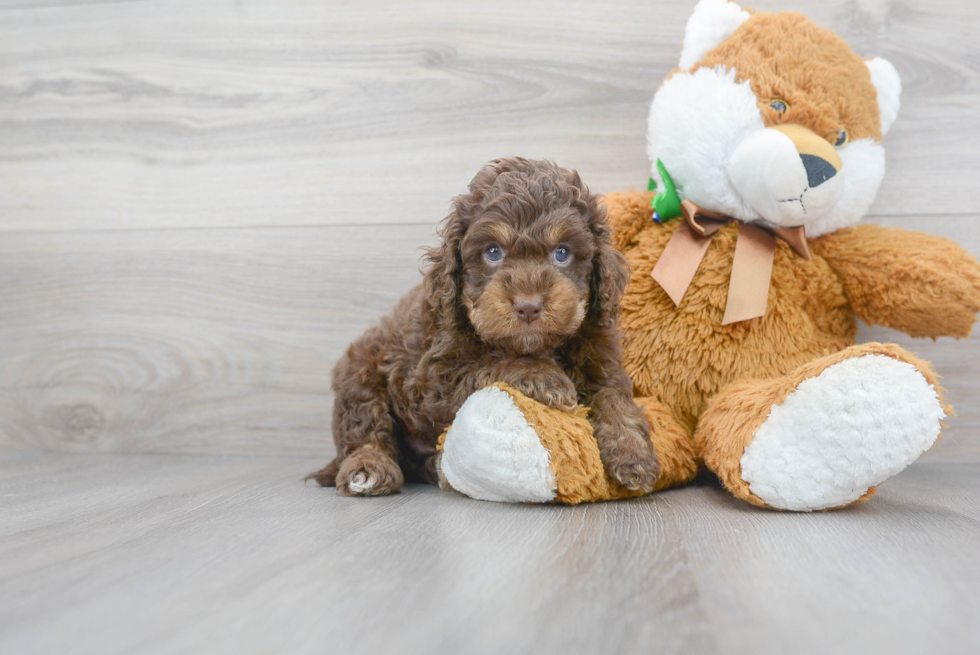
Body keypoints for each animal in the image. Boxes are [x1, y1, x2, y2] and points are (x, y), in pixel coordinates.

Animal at [306, 159, 660, 498]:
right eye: (493, 251)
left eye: (562, 253)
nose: (528, 305)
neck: (538, 346)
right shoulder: (432, 376)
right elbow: (490, 361)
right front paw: (543, 376)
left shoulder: (601, 357)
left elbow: (614, 396)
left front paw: (633, 453)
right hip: (360, 373)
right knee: (365, 430)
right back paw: (369, 468)